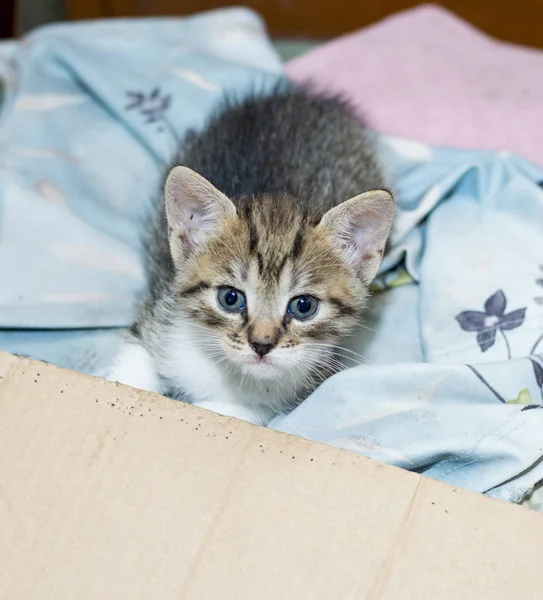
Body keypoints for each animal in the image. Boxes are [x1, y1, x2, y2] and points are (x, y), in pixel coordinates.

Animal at [108, 83, 394, 426]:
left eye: (304, 306)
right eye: (230, 298)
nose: (261, 345)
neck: (226, 369)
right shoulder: (154, 315)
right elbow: (131, 368)